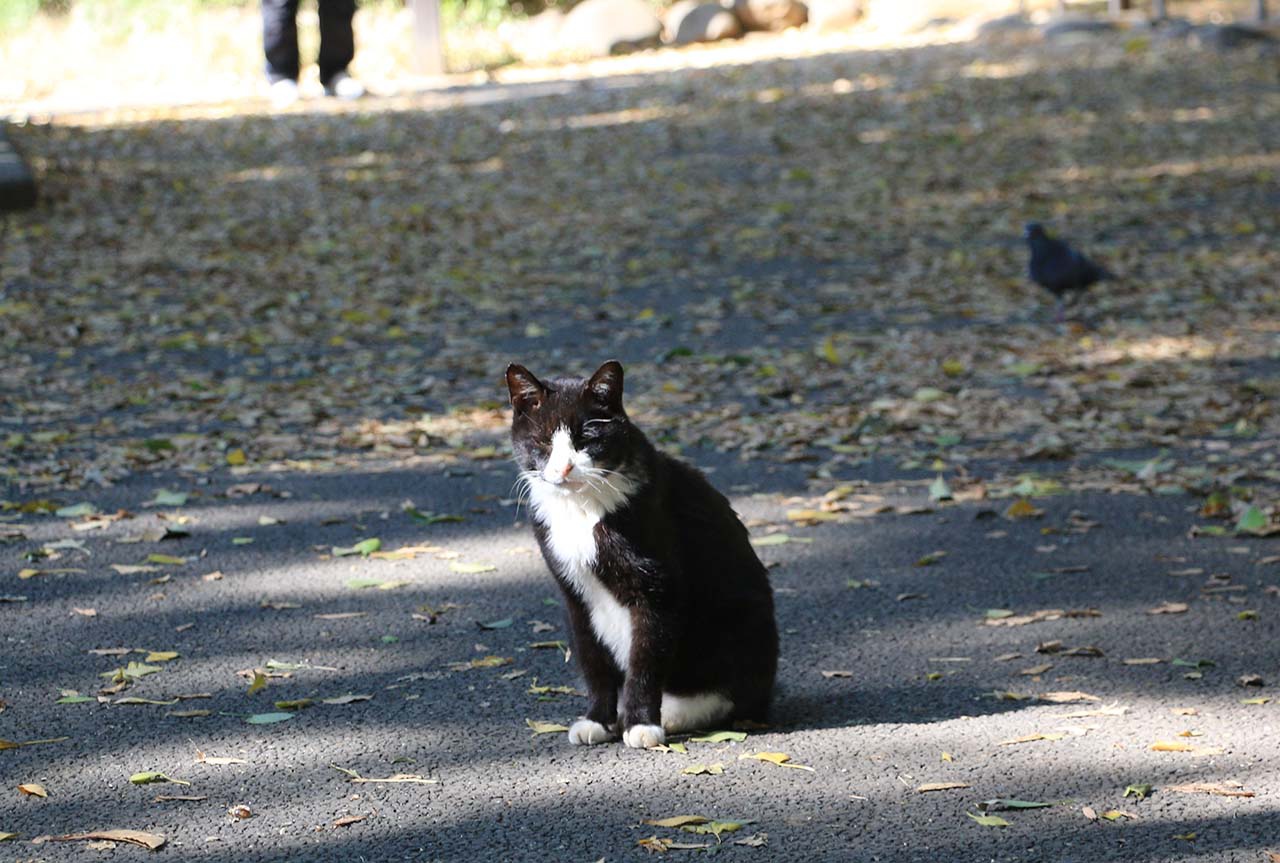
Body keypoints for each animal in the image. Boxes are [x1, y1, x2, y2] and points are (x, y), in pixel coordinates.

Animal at [504, 358, 773, 747]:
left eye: (587, 438)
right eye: (542, 441)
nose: (564, 468)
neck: (582, 509)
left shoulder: (659, 586)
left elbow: (646, 660)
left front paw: (642, 724)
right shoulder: (575, 596)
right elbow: (593, 661)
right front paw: (598, 720)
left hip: (741, 625)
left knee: (733, 695)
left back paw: (676, 713)